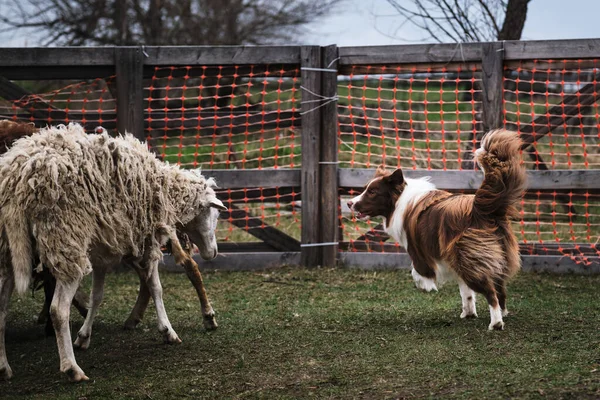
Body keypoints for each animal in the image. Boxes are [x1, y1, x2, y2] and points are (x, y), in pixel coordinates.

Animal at [0, 123, 226, 382]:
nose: (213, 253)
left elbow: (98, 295)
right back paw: (72, 368)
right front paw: (167, 330)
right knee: (58, 310)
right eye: (214, 214)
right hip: (66, 241)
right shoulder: (147, 240)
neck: (164, 189)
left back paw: (4, 367)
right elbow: (156, 287)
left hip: (8, 251)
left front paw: (84, 335)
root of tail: (17, 180)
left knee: (1, 309)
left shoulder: (102, 250)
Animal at [346, 130, 524, 330]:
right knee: (500, 289)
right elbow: (465, 291)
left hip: (469, 258)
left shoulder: (418, 249)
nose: (349, 203)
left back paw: (496, 323)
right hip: (493, 256)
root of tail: (483, 209)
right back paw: (502, 313)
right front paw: (468, 313)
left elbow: (417, 271)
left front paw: (425, 285)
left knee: (491, 292)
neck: (400, 199)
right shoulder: (453, 259)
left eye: (372, 192)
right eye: (366, 189)